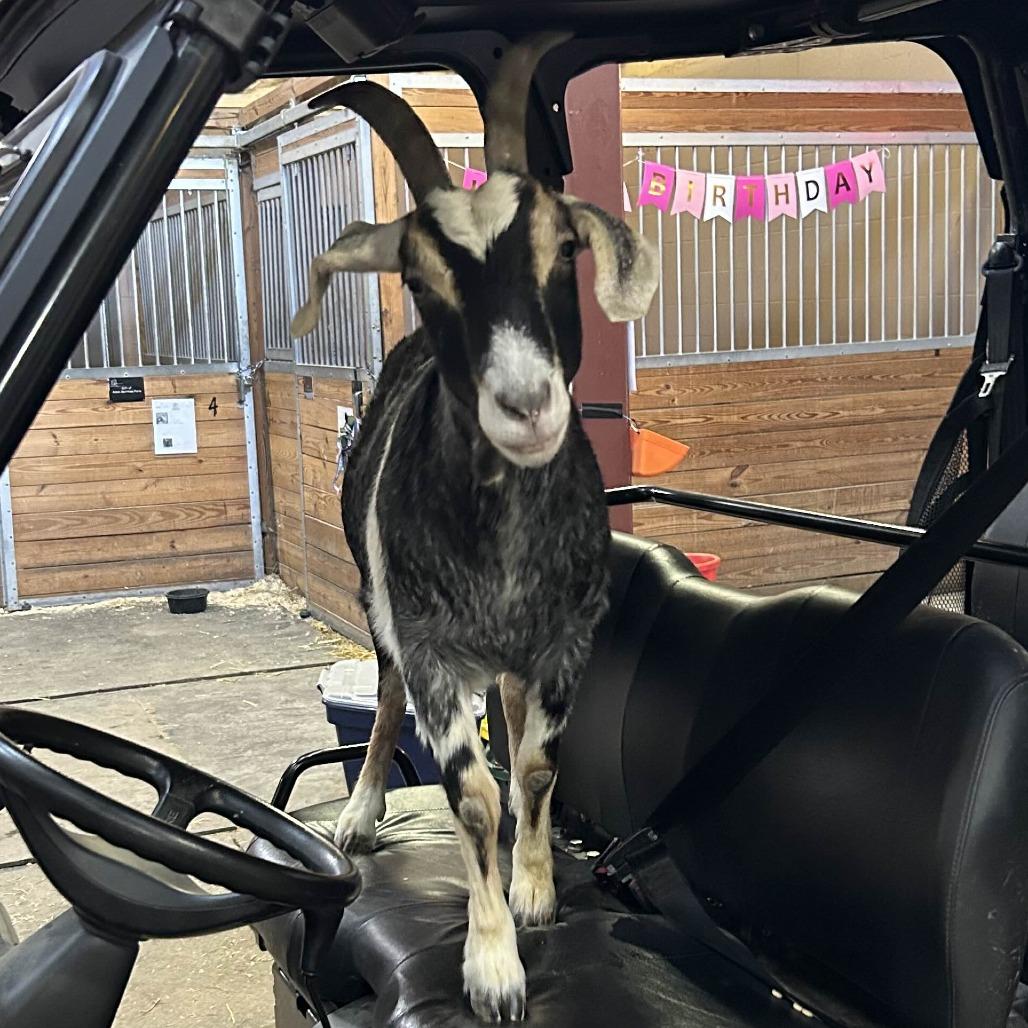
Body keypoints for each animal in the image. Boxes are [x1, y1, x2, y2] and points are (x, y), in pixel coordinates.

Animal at [291, 34, 658, 1022]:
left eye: (562, 245)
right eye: (418, 275)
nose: (527, 404)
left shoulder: (568, 640)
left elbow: (532, 768)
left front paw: (533, 889)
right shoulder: (429, 649)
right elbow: (468, 797)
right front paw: (492, 968)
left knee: (516, 722)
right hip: (382, 608)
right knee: (383, 698)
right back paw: (361, 813)